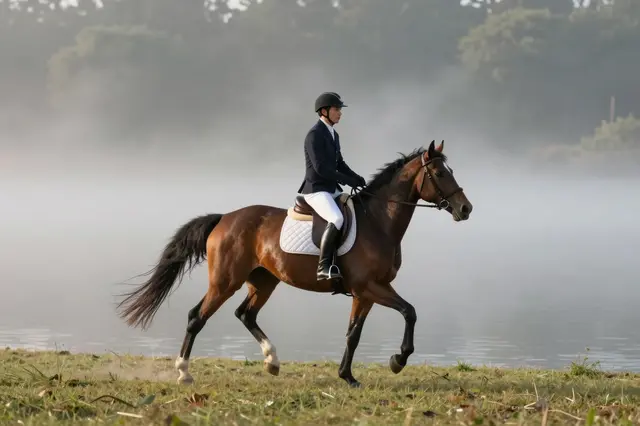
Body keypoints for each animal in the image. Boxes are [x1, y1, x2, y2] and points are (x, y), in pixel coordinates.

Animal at [116, 140, 473, 387]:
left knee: (245, 314)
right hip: (225, 281)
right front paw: (398, 360)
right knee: (196, 318)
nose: (465, 209)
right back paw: (184, 373)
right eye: (440, 173)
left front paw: (348, 376)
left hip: (264, 280)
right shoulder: (371, 286)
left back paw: (272, 362)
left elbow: (353, 334)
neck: (378, 222)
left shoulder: (365, 293)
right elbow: (409, 312)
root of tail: (224, 218)